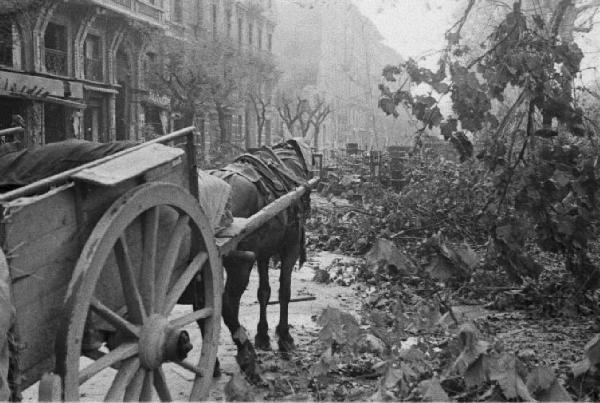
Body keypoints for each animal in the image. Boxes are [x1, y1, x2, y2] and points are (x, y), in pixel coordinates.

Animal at [207, 139, 312, 382]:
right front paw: (284, 337)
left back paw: (215, 362)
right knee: (227, 303)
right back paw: (245, 356)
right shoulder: (290, 247)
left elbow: (264, 292)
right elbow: (284, 291)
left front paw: (263, 335)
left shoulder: (263, 252)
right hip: (239, 263)